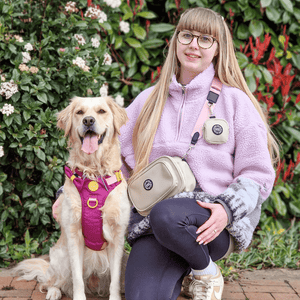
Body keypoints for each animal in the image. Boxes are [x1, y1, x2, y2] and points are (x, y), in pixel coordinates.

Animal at [12, 96, 131, 300]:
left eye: (101, 111)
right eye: (79, 112)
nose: (88, 121)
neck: (93, 175)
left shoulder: (117, 236)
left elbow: (114, 281)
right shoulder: (74, 235)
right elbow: (77, 279)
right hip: (60, 257)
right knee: (51, 281)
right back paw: (53, 292)